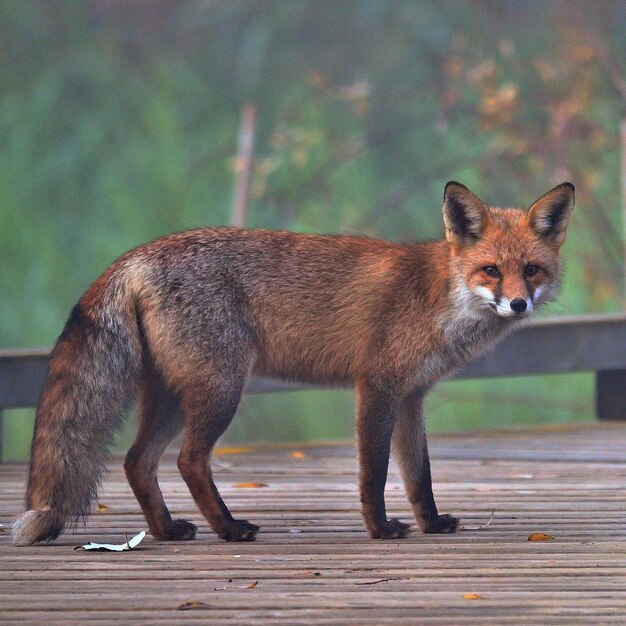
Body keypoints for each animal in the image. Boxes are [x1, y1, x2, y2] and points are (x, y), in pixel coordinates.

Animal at [12, 179, 572, 540]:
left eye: (531, 270)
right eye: (491, 270)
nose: (518, 304)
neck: (440, 298)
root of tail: (136, 255)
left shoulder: (413, 396)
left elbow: (419, 474)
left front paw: (431, 524)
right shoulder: (378, 386)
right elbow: (374, 472)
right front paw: (380, 529)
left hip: (173, 394)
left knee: (136, 461)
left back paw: (167, 531)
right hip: (220, 390)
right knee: (188, 461)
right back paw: (229, 528)